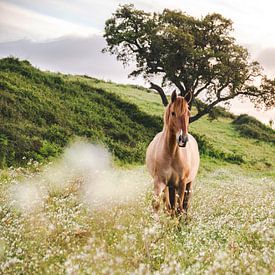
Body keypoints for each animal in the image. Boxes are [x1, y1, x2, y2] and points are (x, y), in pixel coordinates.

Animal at [147, 91, 201, 219]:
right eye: (173, 113)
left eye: (188, 113)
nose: (183, 139)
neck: (171, 154)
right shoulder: (159, 183)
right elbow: (157, 205)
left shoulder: (181, 185)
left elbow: (179, 208)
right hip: (169, 186)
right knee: (168, 206)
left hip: (188, 184)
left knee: (184, 206)